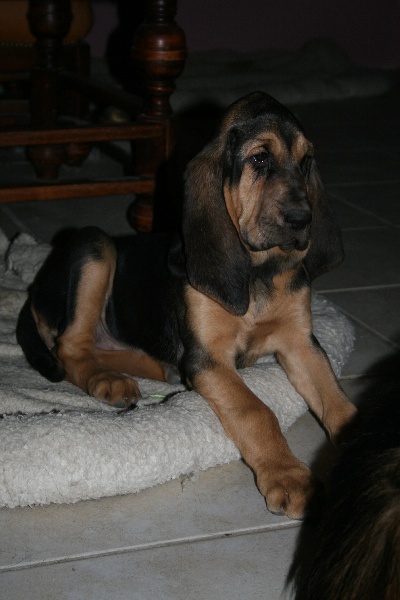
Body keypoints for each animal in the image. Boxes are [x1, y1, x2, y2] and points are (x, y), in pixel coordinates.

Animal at [17, 91, 356, 519]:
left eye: (306, 160)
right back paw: (107, 380)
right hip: (95, 246)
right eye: (260, 159)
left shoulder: (301, 342)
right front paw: (289, 476)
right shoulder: (207, 359)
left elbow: (337, 399)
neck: (259, 271)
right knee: (70, 347)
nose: (302, 220)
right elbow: (254, 410)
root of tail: (36, 286)